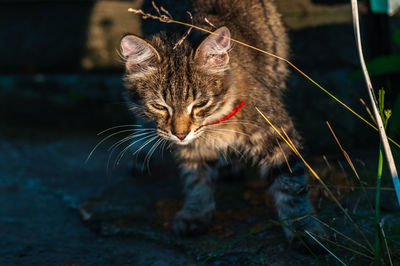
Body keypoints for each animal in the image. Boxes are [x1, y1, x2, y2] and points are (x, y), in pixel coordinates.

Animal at [120, 0, 324, 251]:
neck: (216, 121)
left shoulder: (277, 134)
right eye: (159, 106)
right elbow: (196, 180)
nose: (180, 134)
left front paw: (303, 228)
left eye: (200, 104)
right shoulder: (193, 148)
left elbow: (290, 186)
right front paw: (196, 212)